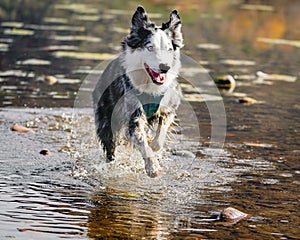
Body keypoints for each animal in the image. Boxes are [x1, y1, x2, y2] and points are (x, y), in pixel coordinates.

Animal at [92, 6, 184, 178]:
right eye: (150, 47)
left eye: (169, 49)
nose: (165, 67)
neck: (150, 86)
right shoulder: (133, 114)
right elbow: (141, 140)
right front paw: (152, 167)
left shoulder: (169, 108)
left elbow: (160, 135)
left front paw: (154, 145)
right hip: (106, 119)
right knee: (110, 146)